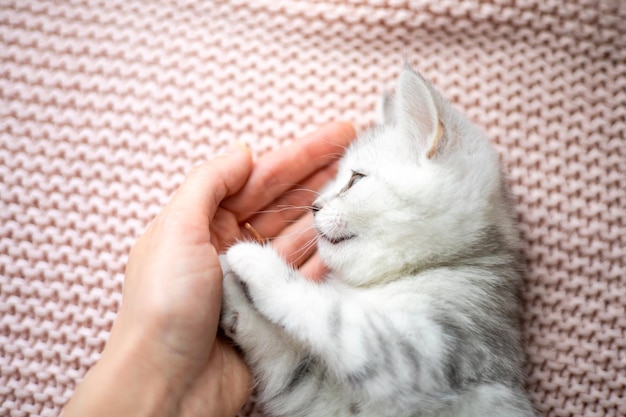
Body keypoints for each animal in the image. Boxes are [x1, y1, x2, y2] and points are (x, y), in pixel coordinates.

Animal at [218, 66, 532, 414]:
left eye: (356, 179)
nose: (315, 206)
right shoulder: (319, 396)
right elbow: (287, 362)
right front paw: (230, 293)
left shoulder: (423, 356)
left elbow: (326, 314)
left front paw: (254, 260)